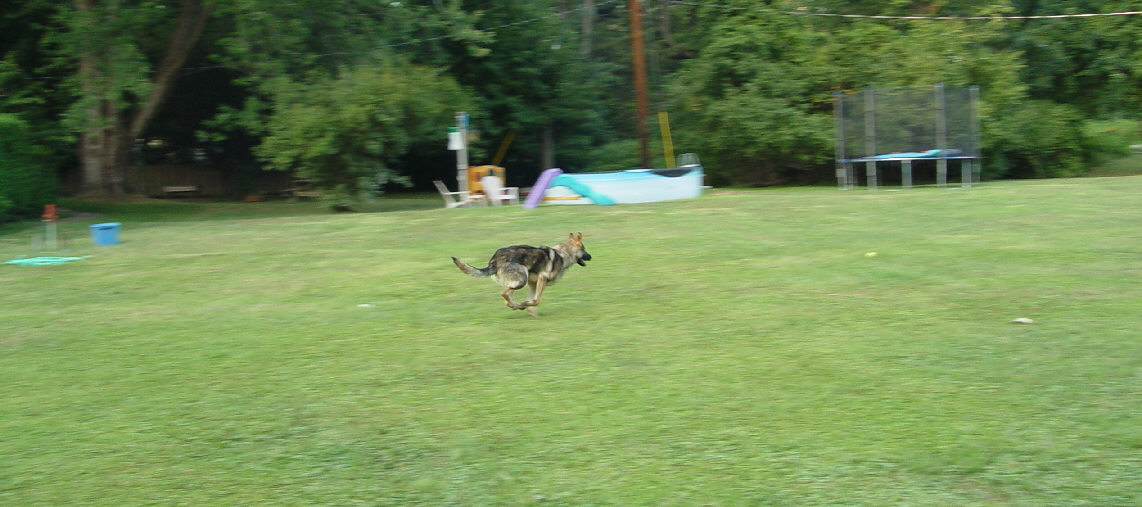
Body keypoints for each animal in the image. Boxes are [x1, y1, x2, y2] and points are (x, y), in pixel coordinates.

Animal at [452, 233, 591, 316]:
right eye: (584, 249)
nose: (590, 256)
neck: (563, 253)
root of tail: (494, 260)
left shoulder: (533, 284)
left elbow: (532, 300)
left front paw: (531, 313)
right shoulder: (542, 279)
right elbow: (536, 300)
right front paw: (526, 305)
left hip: (517, 282)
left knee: (507, 298)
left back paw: (515, 305)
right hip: (521, 279)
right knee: (504, 293)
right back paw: (517, 305)